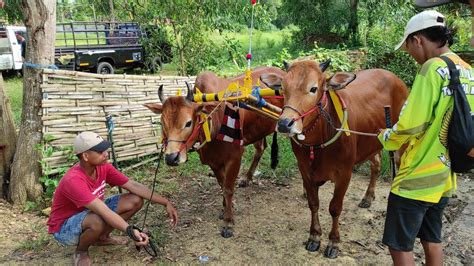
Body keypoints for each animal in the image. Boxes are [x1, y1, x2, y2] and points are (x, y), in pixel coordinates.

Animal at [144, 67, 286, 238]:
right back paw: (246, 178)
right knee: (260, 148)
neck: (213, 122)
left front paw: (228, 221)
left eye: (188, 123)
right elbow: (222, 185)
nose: (171, 158)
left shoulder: (235, 158)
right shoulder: (214, 162)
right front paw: (225, 209)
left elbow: (228, 189)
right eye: (162, 123)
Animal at [260, 60, 408, 258]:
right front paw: (314, 237)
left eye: (314, 88)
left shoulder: (344, 173)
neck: (318, 141)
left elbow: (334, 208)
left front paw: (333, 242)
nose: (285, 124)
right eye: (283, 88)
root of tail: (395, 78)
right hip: (373, 142)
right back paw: (368, 197)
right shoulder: (305, 170)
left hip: (401, 142)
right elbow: (313, 204)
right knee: (376, 164)